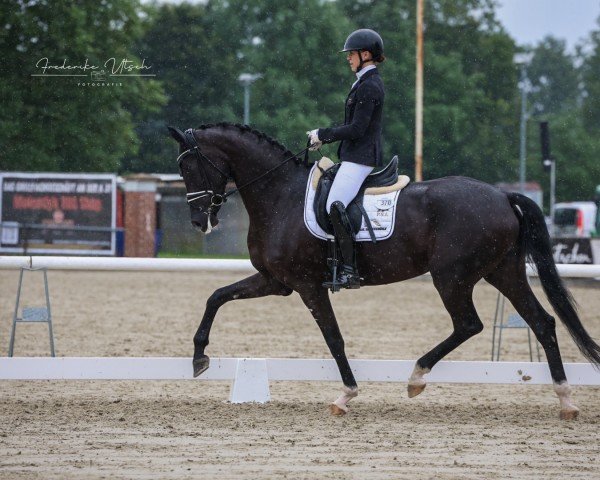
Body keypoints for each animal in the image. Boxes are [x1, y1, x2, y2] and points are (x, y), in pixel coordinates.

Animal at [168, 124, 600, 420]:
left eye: (190, 166)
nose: (198, 221)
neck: (280, 196)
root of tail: (502, 194)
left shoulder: (308, 286)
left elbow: (334, 338)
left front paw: (346, 395)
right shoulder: (276, 282)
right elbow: (217, 296)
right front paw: (199, 356)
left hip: (452, 276)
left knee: (469, 324)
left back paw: (416, 377)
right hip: (503, 271)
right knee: (543, 322)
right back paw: (566, 400)